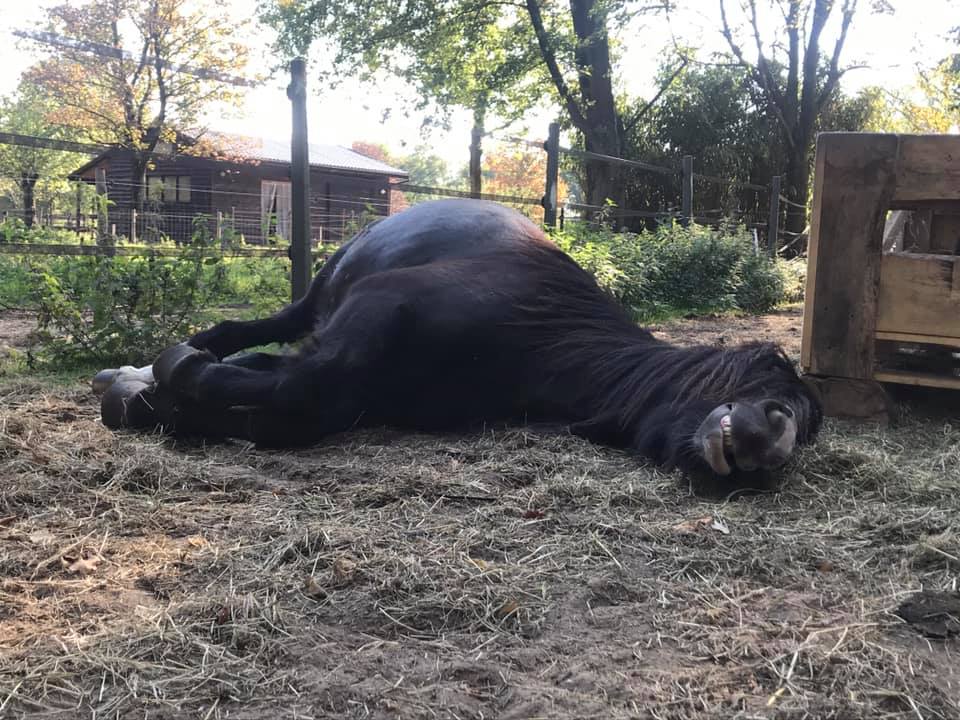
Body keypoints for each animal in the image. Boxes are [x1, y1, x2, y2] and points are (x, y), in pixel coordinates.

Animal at [94, 200, 820, 486]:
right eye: (773, 378)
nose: (771, 441)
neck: (546, 336)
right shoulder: (376, 310)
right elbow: (295, 390)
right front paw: (165, 375)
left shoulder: (371, 390)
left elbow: (291, 407)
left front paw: (154, 398)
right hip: (329, 290)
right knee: (263, 330)